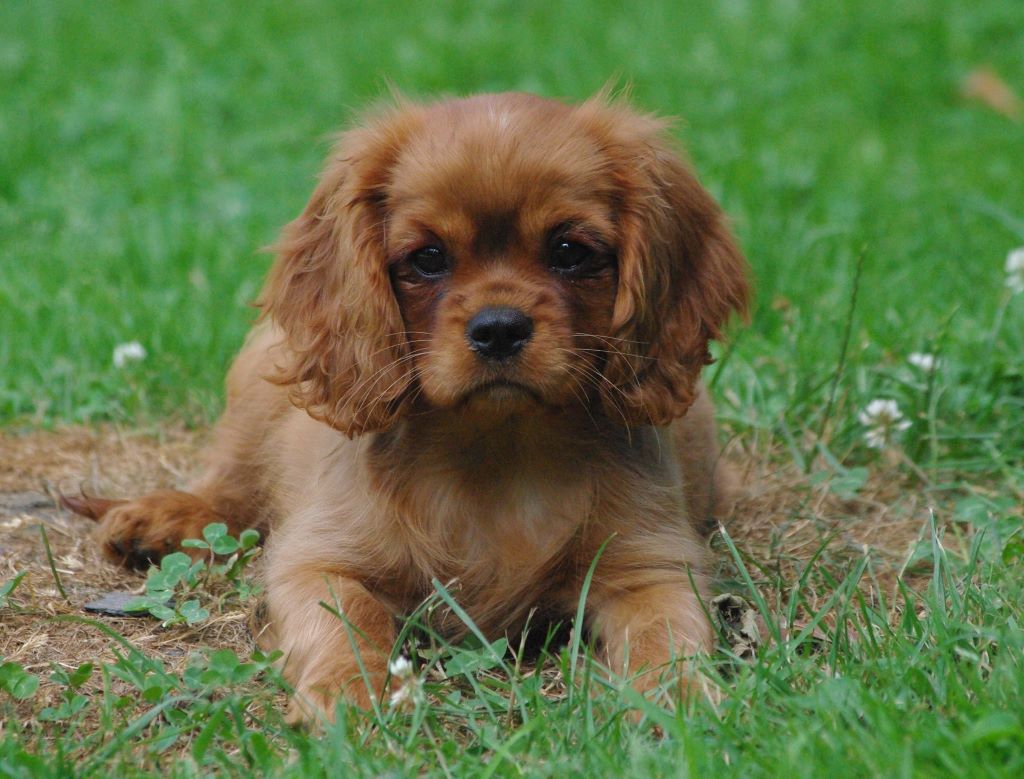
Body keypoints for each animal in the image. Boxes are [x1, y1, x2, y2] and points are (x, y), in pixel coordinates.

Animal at [63, 92, 749, 723]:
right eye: (428, 258)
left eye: (570, 251)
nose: (499, 328)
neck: (499, 448)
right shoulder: (317, 559)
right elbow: (349, 617)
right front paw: (345, 693)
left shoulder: (652, 564)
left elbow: (666, 632)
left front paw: (679, 700)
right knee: (230, 490)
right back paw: (160, 519)